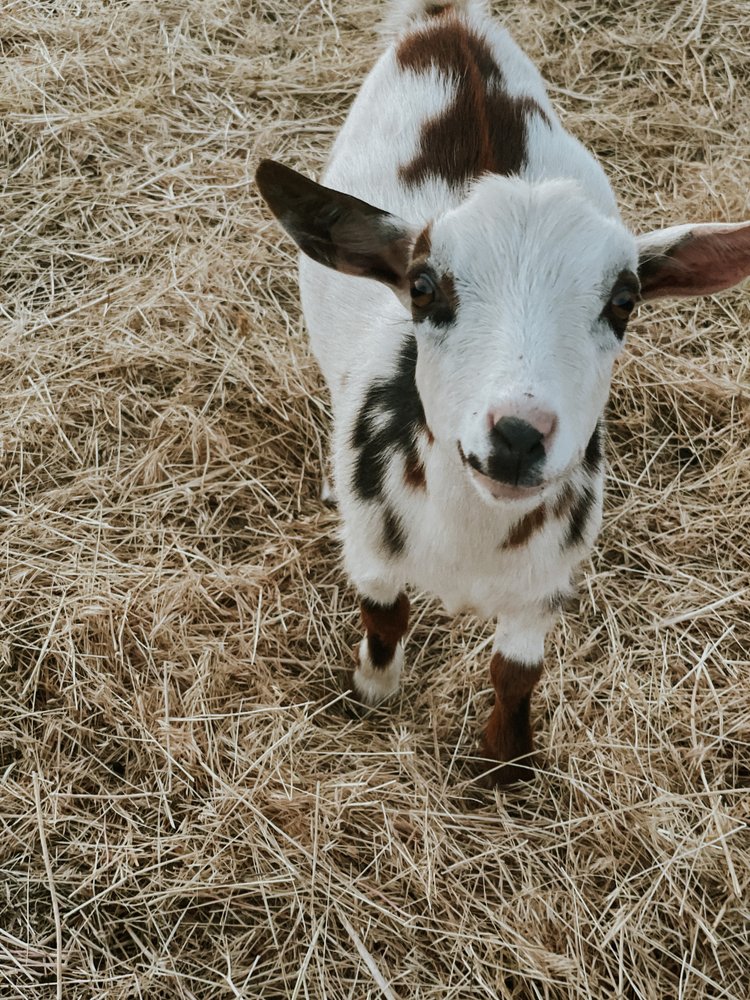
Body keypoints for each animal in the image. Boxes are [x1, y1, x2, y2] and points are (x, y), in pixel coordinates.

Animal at [256, 0, 748, 784]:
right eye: (423, 287)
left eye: (625, 302)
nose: (518, 435)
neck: (469, 536)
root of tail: (449, 23)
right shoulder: (373, 550)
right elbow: (384, 617)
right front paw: (373, 690)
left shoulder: (545, 580)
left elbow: (516, 672)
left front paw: (506, 765)